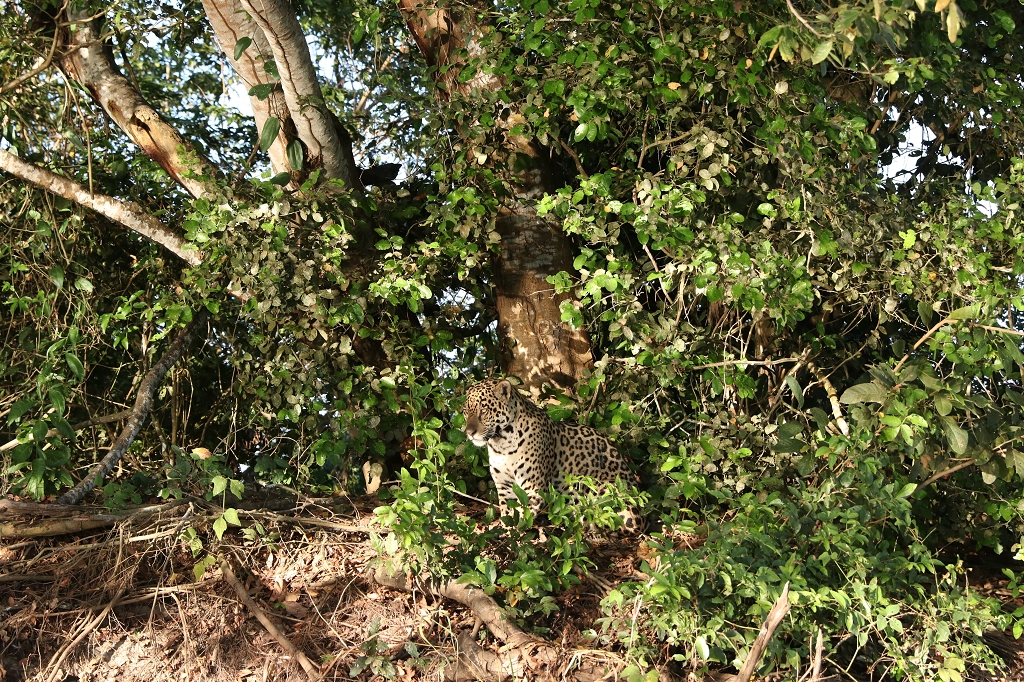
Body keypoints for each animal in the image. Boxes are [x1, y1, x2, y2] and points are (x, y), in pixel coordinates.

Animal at [462, 377, 638, 528]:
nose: (469, 432)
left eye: (484, 410)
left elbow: (524, 515)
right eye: (465, 412)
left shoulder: (534, 487)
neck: (502, 444)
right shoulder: (504, 485)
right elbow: (509, 512)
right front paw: (505, 531)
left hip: (608, 490)